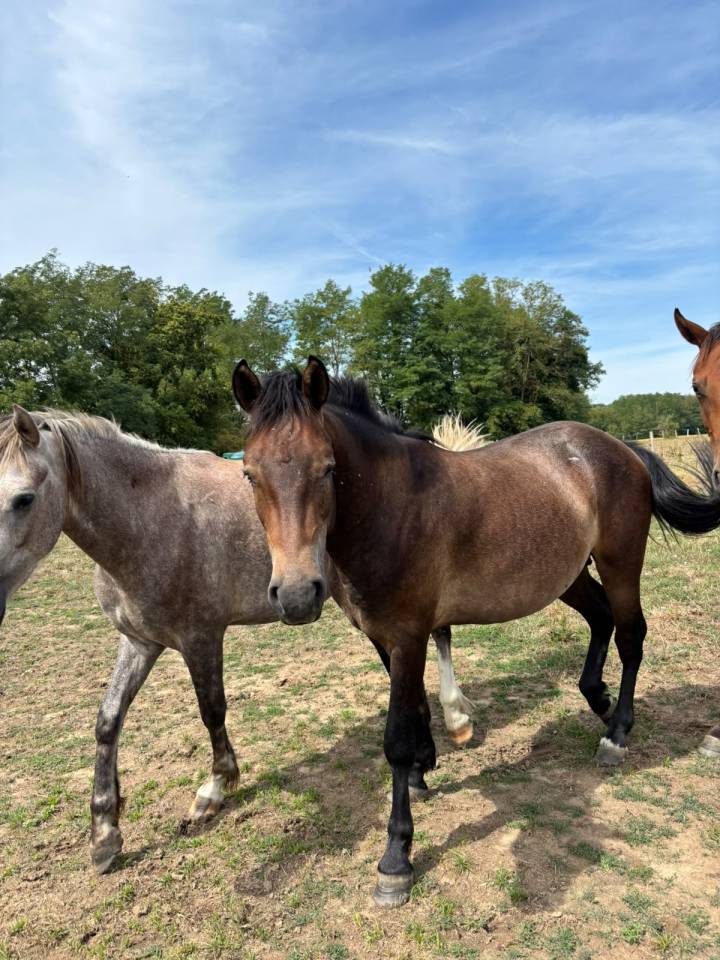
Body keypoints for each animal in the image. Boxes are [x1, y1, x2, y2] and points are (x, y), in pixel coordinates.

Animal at [0, 405, 475, 874]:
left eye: (23, 499)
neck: (149, 518)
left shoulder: (201, 638)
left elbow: (212, 711)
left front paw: (214, 788)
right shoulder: (137, 642)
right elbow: (107, 720)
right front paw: (104, 832)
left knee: (440, 636)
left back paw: (456, 718)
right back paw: (423, 756)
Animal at [232, 356, 720, 907]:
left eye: (328, 468)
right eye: (249, 473)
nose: (296, 596)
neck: (392, 505)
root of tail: (620, 448)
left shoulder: (407, 634)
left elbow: (395, 737)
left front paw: (396, 859)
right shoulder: (386, 637)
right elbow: (416, 707)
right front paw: (425, 765)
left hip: (621, 563)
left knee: (630, 635)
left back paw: (616, 734)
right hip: (569, 575)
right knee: (601, 620)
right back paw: (599, 700)